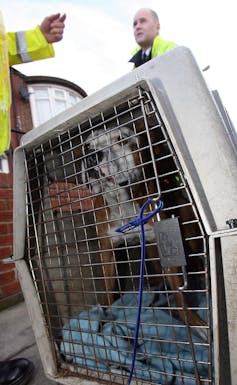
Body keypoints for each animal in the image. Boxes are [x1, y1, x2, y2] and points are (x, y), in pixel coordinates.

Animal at [82, 125, 207, 336]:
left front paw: (195, 323)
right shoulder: (107, 251)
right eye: (87, 146)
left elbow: (179, 294)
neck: (122, 204)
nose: (91, 156)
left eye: (122, 139)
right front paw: (102, 315)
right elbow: (108, 288)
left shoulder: (166, 248)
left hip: (189, 236)